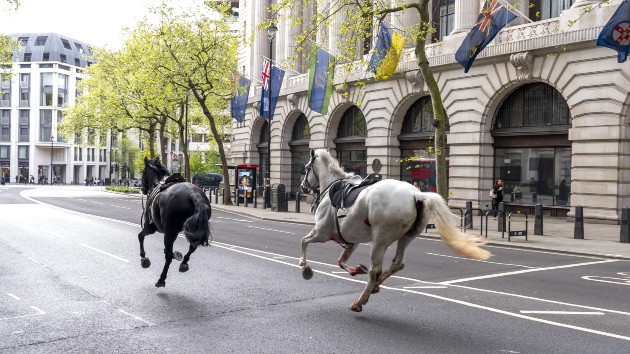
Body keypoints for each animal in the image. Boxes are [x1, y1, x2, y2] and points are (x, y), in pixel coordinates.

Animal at [139, 158, 212, 288]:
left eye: (143, 172)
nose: (142, 188)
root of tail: (193, 193)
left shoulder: (150, 228)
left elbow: (140, 236)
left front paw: (144, 258)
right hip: (192, 230)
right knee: (192, 247)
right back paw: (183, 263)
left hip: (168, 232)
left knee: (168, 256)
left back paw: (161, 279)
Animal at [302, 148, 494, 312]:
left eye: (306, 168)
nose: (303, 187)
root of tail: (418, 194)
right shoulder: (351, 240)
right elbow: (341, 261)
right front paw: (355, 269)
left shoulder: (321, 232)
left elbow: (304, 242)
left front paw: (305, 268)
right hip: (407, 237)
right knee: (397, 263)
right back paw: (375, 286)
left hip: (380, 239)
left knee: (375, 271)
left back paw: (360, 301)